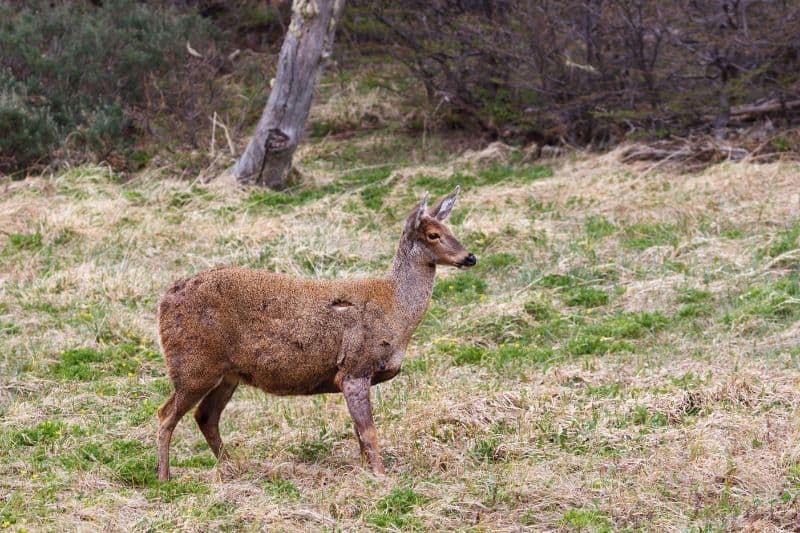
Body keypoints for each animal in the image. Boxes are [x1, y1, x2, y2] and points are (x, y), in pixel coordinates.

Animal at [156, 186, 476, 478]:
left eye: (449, 228)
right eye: (433, 234)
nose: (470, 257)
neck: (396, 310)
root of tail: (164, 299)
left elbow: (358, 434)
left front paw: (365, 472)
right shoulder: (354, 368)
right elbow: (369, 432)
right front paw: (382, 477)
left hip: (227, 373)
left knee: (205, 416)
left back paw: (233, 467)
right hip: (193, 364)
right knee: (166, 413)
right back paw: (164, 477)